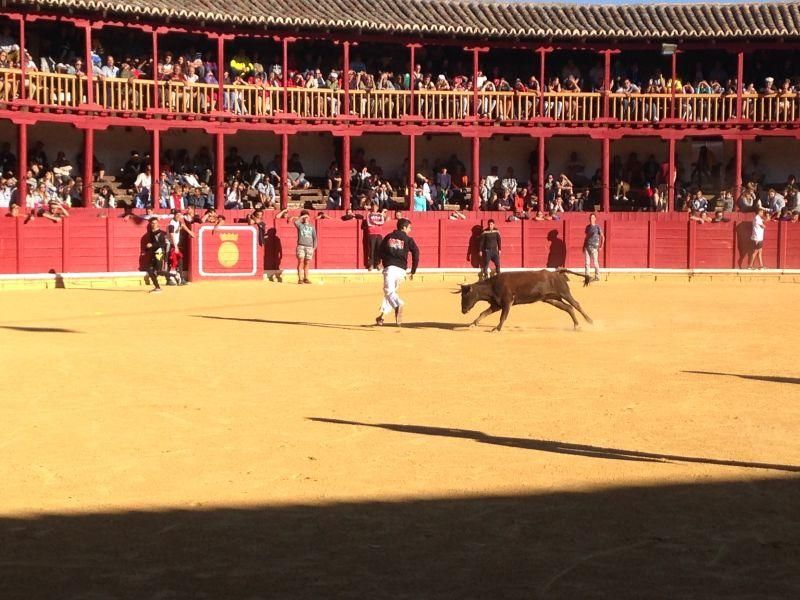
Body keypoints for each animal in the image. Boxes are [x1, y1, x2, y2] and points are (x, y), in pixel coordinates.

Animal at [456, 268, 592, 330]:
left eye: (465, 295)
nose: (463, 310)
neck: (492, 285)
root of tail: (556, 272)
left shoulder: (507, 302)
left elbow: (503, 316)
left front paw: (497, 328)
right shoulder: (496, 304)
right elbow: (483, 313)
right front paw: (473, 324)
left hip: (564, 293)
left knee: (576, 304)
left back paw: (590, 321)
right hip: (550, 299)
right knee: (568, 307)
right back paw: (576, 325)